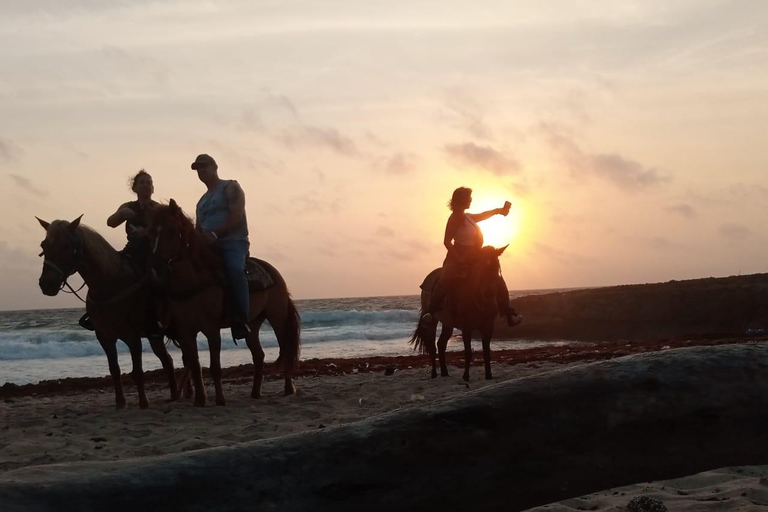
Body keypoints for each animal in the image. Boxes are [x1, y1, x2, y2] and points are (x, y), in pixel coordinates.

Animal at [37, 215, 180, 408]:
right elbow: (114, 370)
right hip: (155, 336)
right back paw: (175, 394)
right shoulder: (104, 337)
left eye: (66, 246)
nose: (47, 284)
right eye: (44, 245)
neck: (110, 283)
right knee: (168, 360)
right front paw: (120, 402)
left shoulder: (132, 337)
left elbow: (137, 371)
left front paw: (143, 402)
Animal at [147, 200, 300, 408]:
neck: (196, 280)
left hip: (277, 318)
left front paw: (219, 400)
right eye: (151, 233)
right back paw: (255, 393)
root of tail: (274, 272)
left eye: (172, 230)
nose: (155, 266)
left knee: (285, 348)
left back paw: (288, 388)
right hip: (253, 324)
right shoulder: (186, 332)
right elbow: (195, 366)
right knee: (258, 355)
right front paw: (200, 400)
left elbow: (215, 367)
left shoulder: (211, 329)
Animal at [412, 246, 508, 382]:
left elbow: (486, 352)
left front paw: (488, 375)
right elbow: (468, 352)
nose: (489, 293)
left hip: (448, 323)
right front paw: (466, 376)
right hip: (432, 321)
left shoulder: (488, 327)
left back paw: (445, 372)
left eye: (497, 266)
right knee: (432, 346)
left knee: (441, 344)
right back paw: (434, 374)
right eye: (481, 266)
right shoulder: (467, 328)